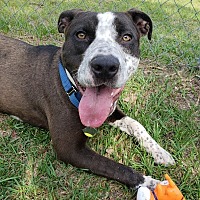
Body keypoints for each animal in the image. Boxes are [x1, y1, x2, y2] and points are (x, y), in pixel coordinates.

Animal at [0, 8, 174, 190]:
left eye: (127, 37)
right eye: (81, 35)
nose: (105, 66)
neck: (70, 86)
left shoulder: (110, 111)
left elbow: (136, 124)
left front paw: (160, 152)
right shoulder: (69, 149)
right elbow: (119, 168)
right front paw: (153, 184)